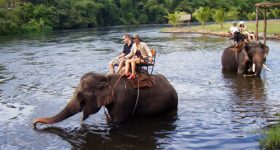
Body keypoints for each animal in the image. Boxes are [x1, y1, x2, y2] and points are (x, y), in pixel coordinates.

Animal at [32, 72, 177, 127]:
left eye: (80, 96)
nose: (34, 123)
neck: (105, 78)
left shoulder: (123, 101)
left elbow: (117, 122)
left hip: (171, 105)